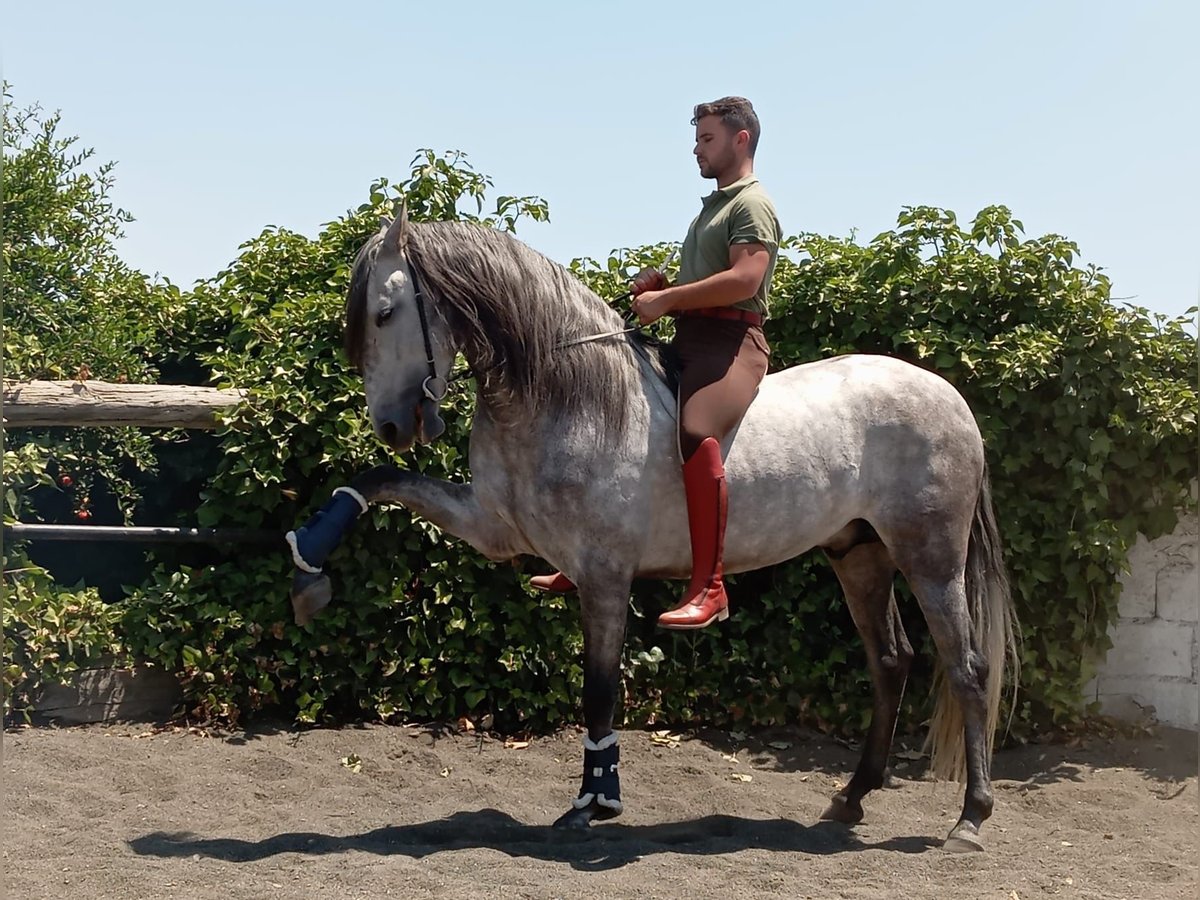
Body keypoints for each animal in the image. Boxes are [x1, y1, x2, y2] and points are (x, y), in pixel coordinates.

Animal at [283, 210, 1022, 854]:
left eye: (385, 313)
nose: (392, 424)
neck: (571, 392)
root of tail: (948, 396)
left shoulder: (606, 577)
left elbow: (600, 690)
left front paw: (594, 802)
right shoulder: (491, 525)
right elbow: (376, 480)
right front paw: (308, 565)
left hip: (930, 556)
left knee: (967, 668)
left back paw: (970, 819)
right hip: (858, 553)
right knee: (891, 662)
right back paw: (852, 797)